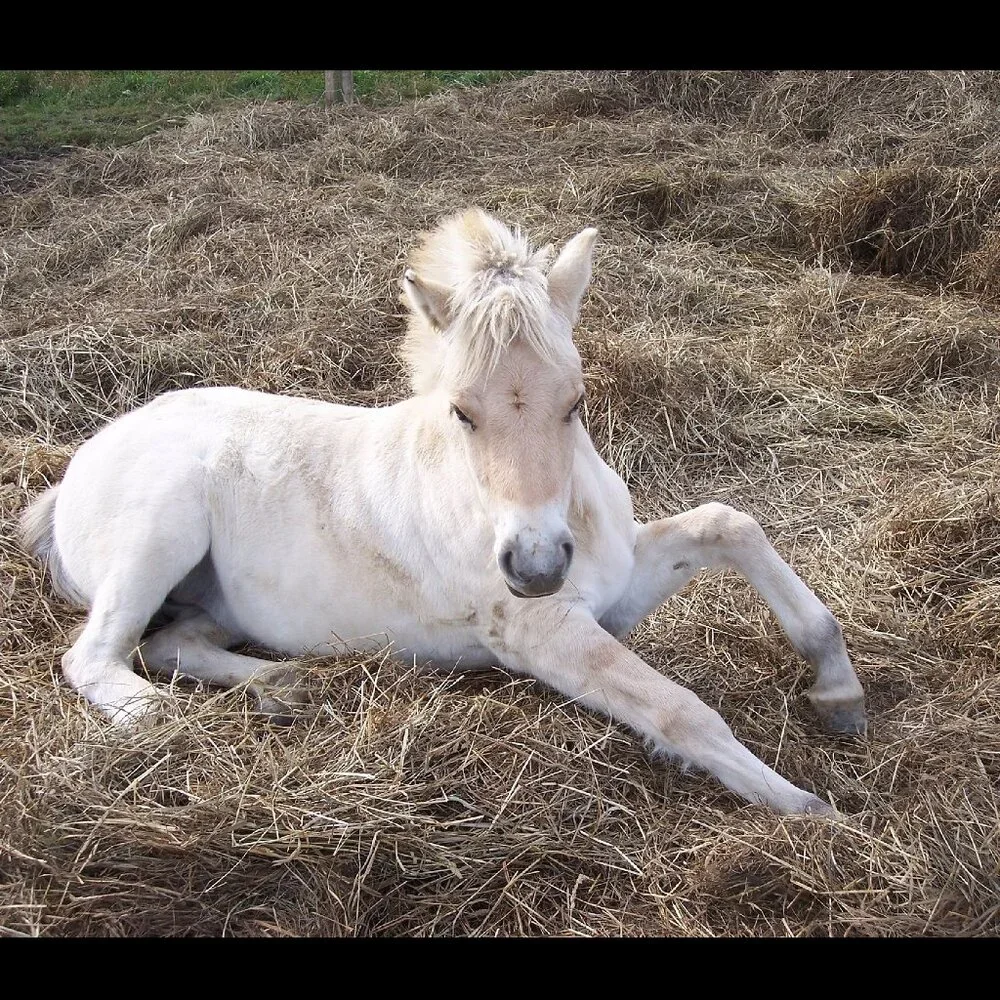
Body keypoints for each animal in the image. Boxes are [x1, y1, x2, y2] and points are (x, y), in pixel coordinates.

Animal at [20, 208, 867, 815]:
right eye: (462, 411)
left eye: (577, 401)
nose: (535, 566)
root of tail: (80, 467)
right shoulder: (539, 631)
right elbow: (679, 710)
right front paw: (809, 809)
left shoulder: (617, 588)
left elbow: (729, 523)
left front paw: (839, 693)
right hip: (160, 529)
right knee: (95, 656)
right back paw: (161, 718)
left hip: (213, 599)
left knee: (173, 643)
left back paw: (285, 688)